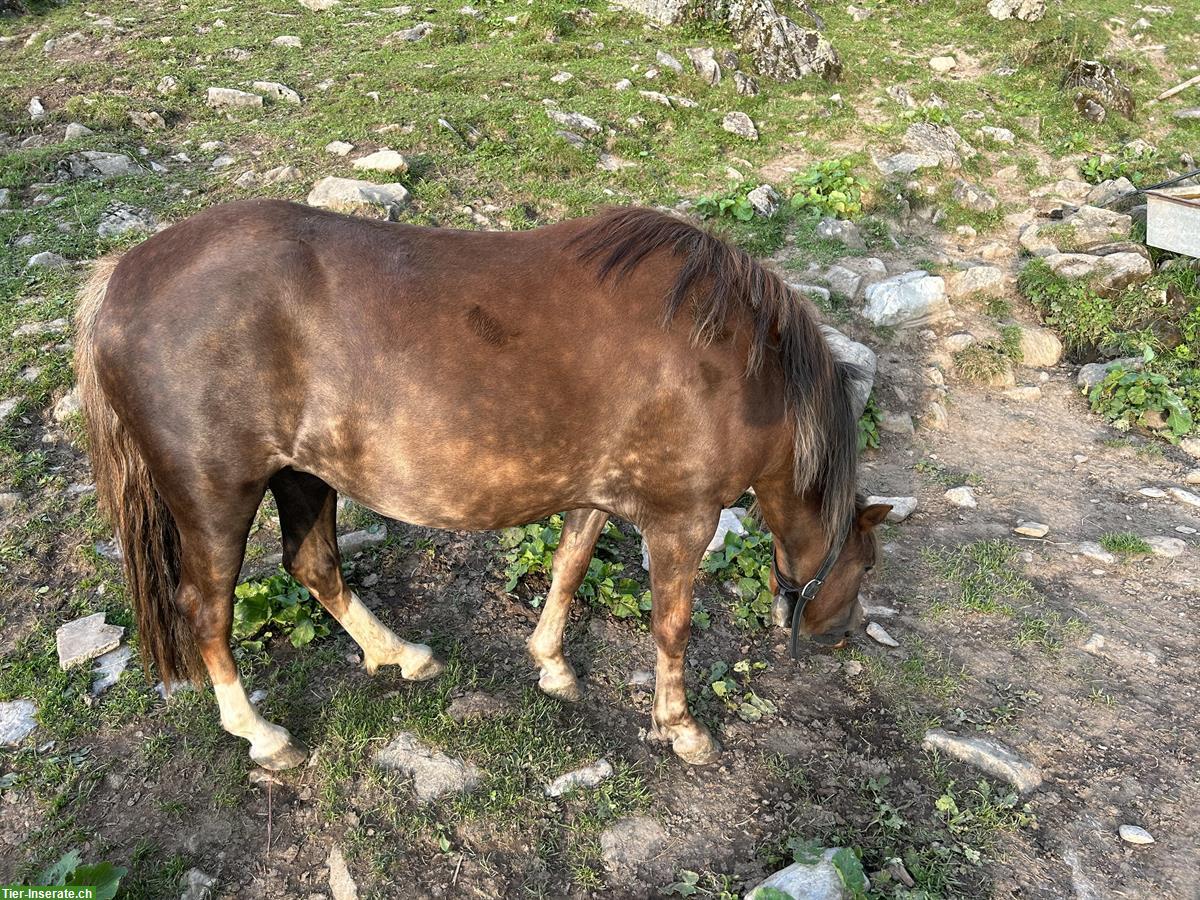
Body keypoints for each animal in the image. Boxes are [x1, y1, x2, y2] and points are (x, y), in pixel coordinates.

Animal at [72, 202, 883, 768]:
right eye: (866, 564)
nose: (838, 635)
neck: (737, 363)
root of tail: (120, 278)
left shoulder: (595, 496)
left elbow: (568, 569)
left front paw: (551, 664)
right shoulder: (682, 519)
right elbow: (671, 628)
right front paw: (680, 729)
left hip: (303, 475)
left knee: (314, 566)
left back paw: (402, 654)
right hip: (218, 496)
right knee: (206, 610)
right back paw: (261, 735)